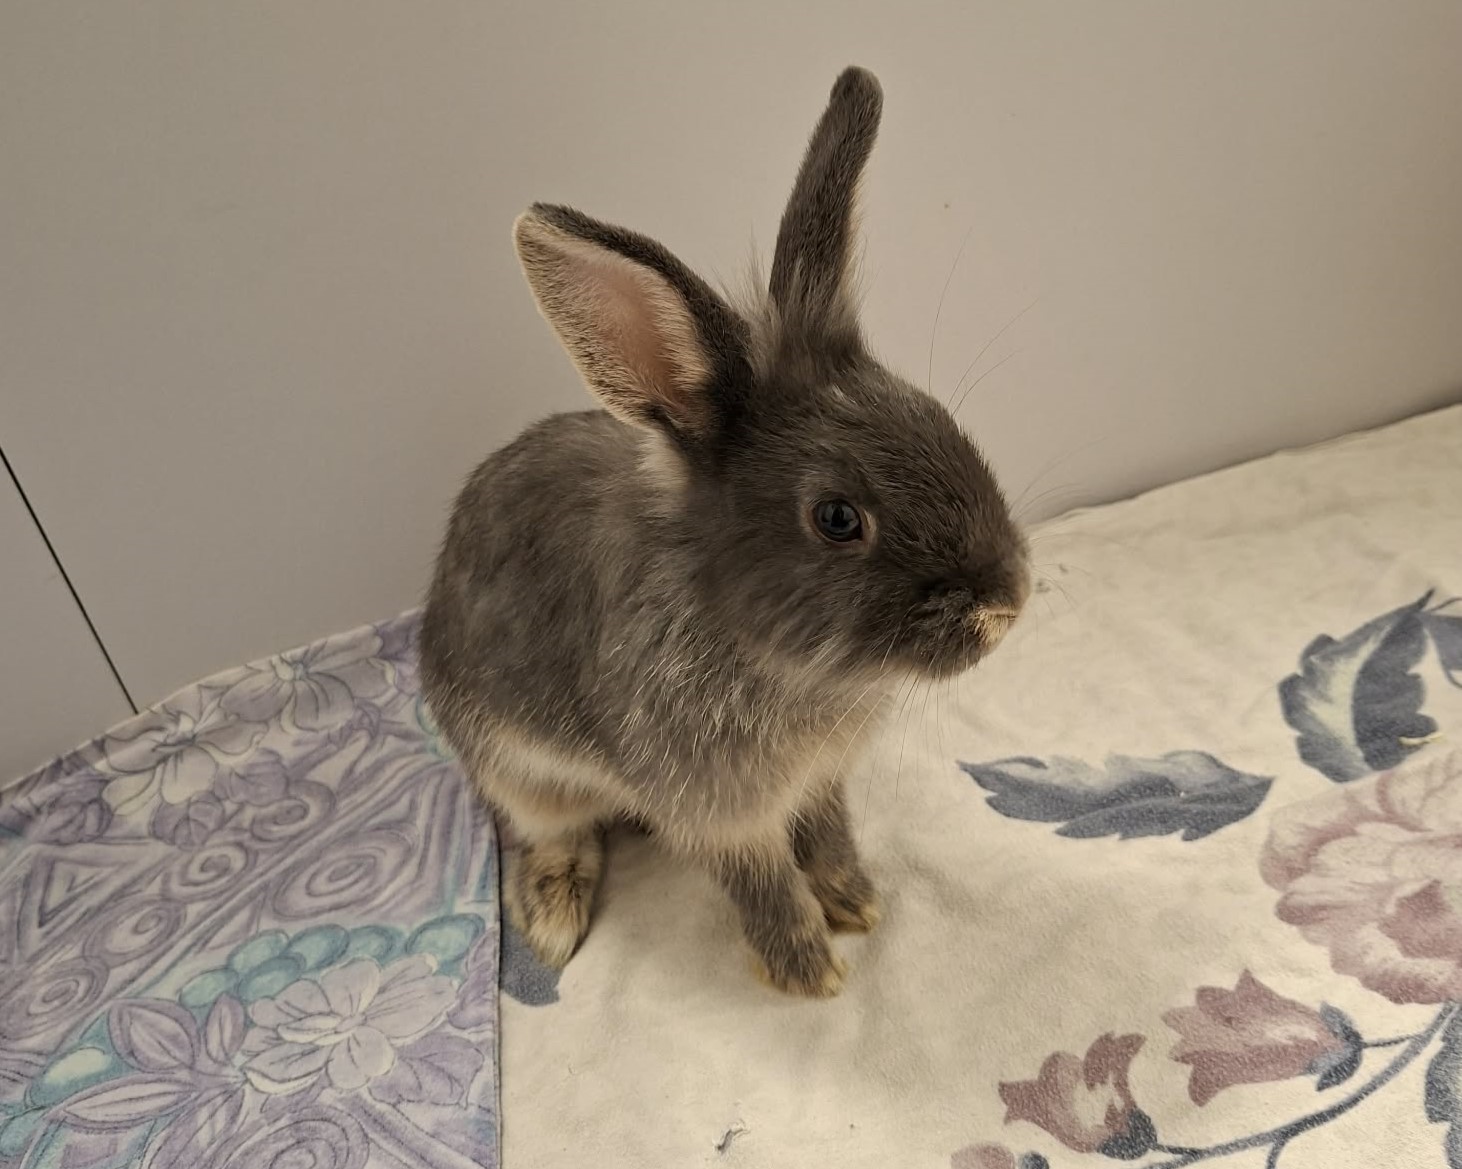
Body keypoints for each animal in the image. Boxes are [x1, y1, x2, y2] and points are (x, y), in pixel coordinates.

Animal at [419, 66, 1029, 997]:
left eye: (937, 418)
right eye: (837, 518)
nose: (1007, 605)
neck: (775, 658)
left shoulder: (816, 782)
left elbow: (828, 834)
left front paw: (856, 901)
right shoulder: (720, 811)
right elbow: (762, 881)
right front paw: (810, 970)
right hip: (514, 769)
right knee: (548, 828)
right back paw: (554, 913)